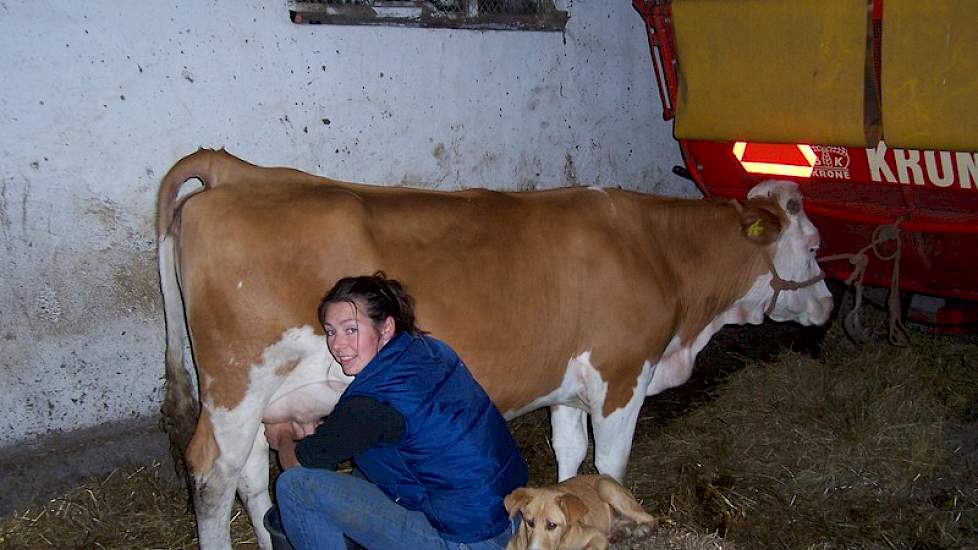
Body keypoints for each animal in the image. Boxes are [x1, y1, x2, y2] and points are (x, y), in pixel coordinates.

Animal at [504, 476, 656, 548]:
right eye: (529, 523)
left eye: (552, 525)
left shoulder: (597, 536)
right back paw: (621, 532)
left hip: (605, 487)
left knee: (649, 518)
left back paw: (643, 530)